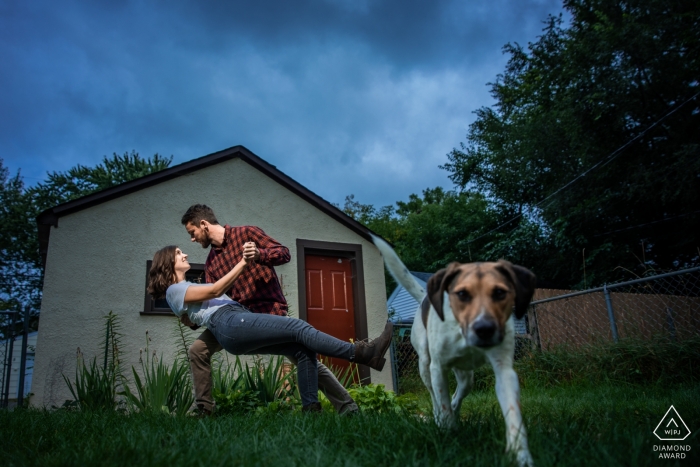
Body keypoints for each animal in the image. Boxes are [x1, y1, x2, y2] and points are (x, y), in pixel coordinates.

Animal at [374, 236, 540, 466]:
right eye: (462, 294)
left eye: (499, 293)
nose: (485, 329)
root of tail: (425, 297)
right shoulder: (438, 368)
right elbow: (441, 403)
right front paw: (447, 432)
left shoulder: (504, 371)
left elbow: (514, 414)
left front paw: (521, 456)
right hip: (425, 365)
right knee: (435, 397)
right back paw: (441, 419)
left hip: (465, 375)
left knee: (458, 393)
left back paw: (455, 411)